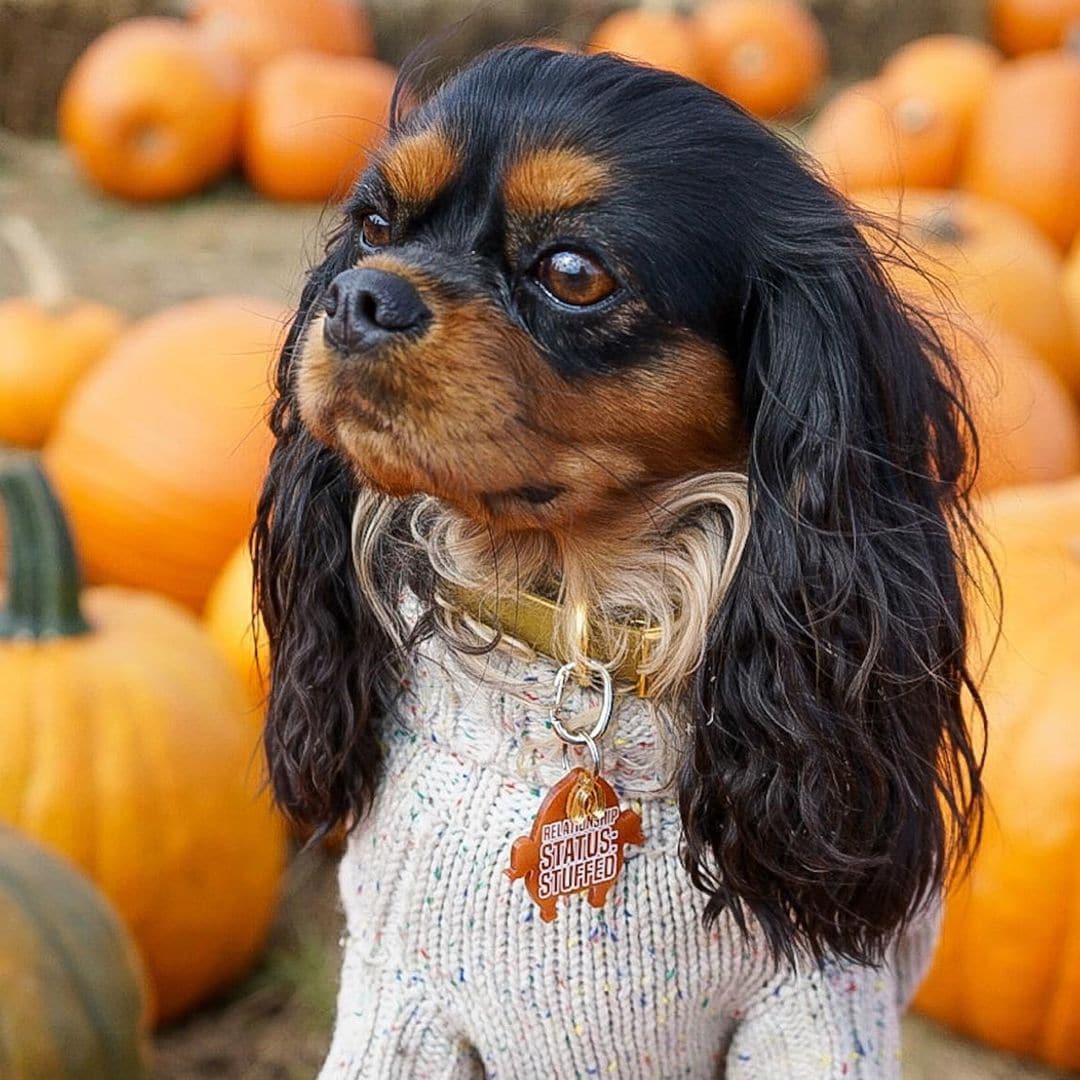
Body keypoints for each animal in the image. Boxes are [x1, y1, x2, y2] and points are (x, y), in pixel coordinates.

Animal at [254, 44, 989, 1080]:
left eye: (573, 272)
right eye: (374, 226)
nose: (360, 295)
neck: (574, 615)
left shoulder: (818, 1008)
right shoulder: (398, 999)